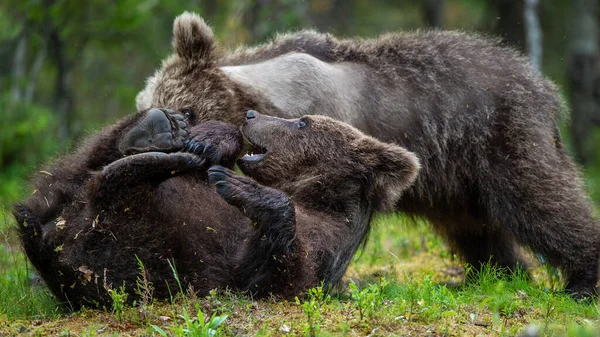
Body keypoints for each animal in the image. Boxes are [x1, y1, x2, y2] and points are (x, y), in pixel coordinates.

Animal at [12, 108, 418, 308]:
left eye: (303, 122)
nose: (252, 114)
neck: (317, 196)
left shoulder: (323, 247)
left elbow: (274, 275)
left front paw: (239, 186)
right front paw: (210, 139)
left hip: (144, 252)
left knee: (112, 202)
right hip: (67, 199)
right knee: (77, 170)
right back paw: (159, 130)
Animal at [135, 11, 600, 296]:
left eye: (186, 109)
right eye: (145, 105)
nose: (154, 132)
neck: (272, 92)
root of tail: (539, 82)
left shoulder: (335, 122)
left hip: (498, 135)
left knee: (541, 200)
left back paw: (582, 280)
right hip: (456, 179)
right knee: (473, 228)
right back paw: (493, 274)